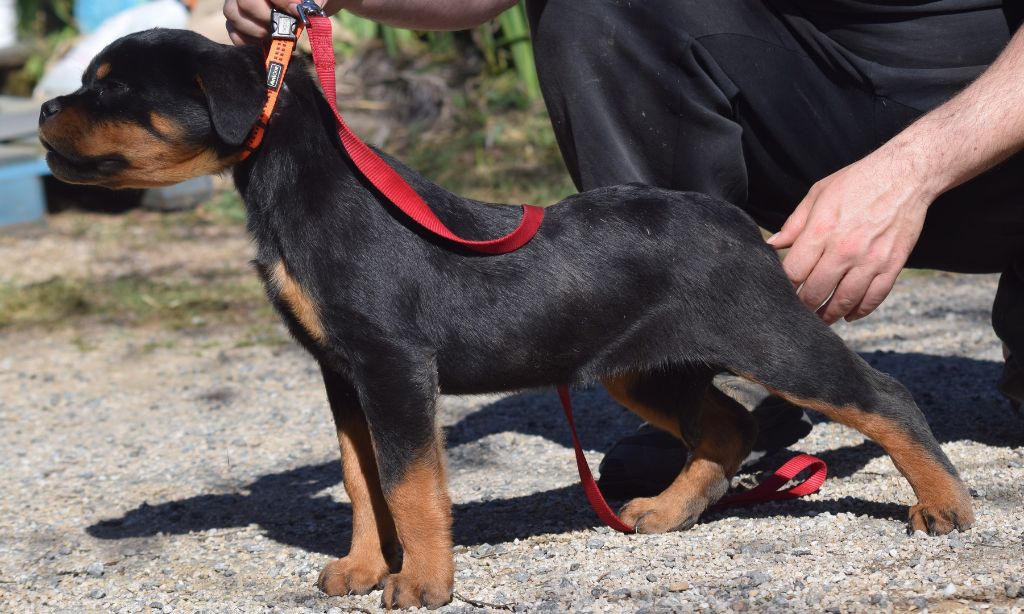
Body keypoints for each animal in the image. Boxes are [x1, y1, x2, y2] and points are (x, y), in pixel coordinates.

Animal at [36, 28, 970, 609]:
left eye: (113, 89)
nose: (42, 110)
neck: (295, 186)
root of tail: (742, 226)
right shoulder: (342, 374)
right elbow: (360, 481)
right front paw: (363, 568)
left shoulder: (393, 367)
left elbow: (411, 487)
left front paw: (419, 585)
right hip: (641, 366)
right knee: (727, 426)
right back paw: (665, 514)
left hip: (770, 338)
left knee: (879, 397)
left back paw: (946, 506)